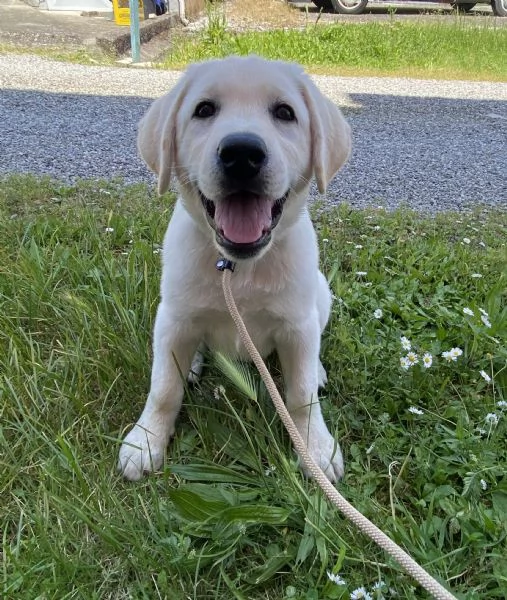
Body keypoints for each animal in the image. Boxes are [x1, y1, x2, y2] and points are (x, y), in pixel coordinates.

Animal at [118, 55, 354, 482]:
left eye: (285, 113)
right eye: (204, 110)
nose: (242, 152)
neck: (239, 268)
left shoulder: (297, 325)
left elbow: (301, 395)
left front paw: (316, 449)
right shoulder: (174, 317)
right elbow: (163, 388)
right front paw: (145, 441)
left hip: (320, 294)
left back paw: (318, 370)